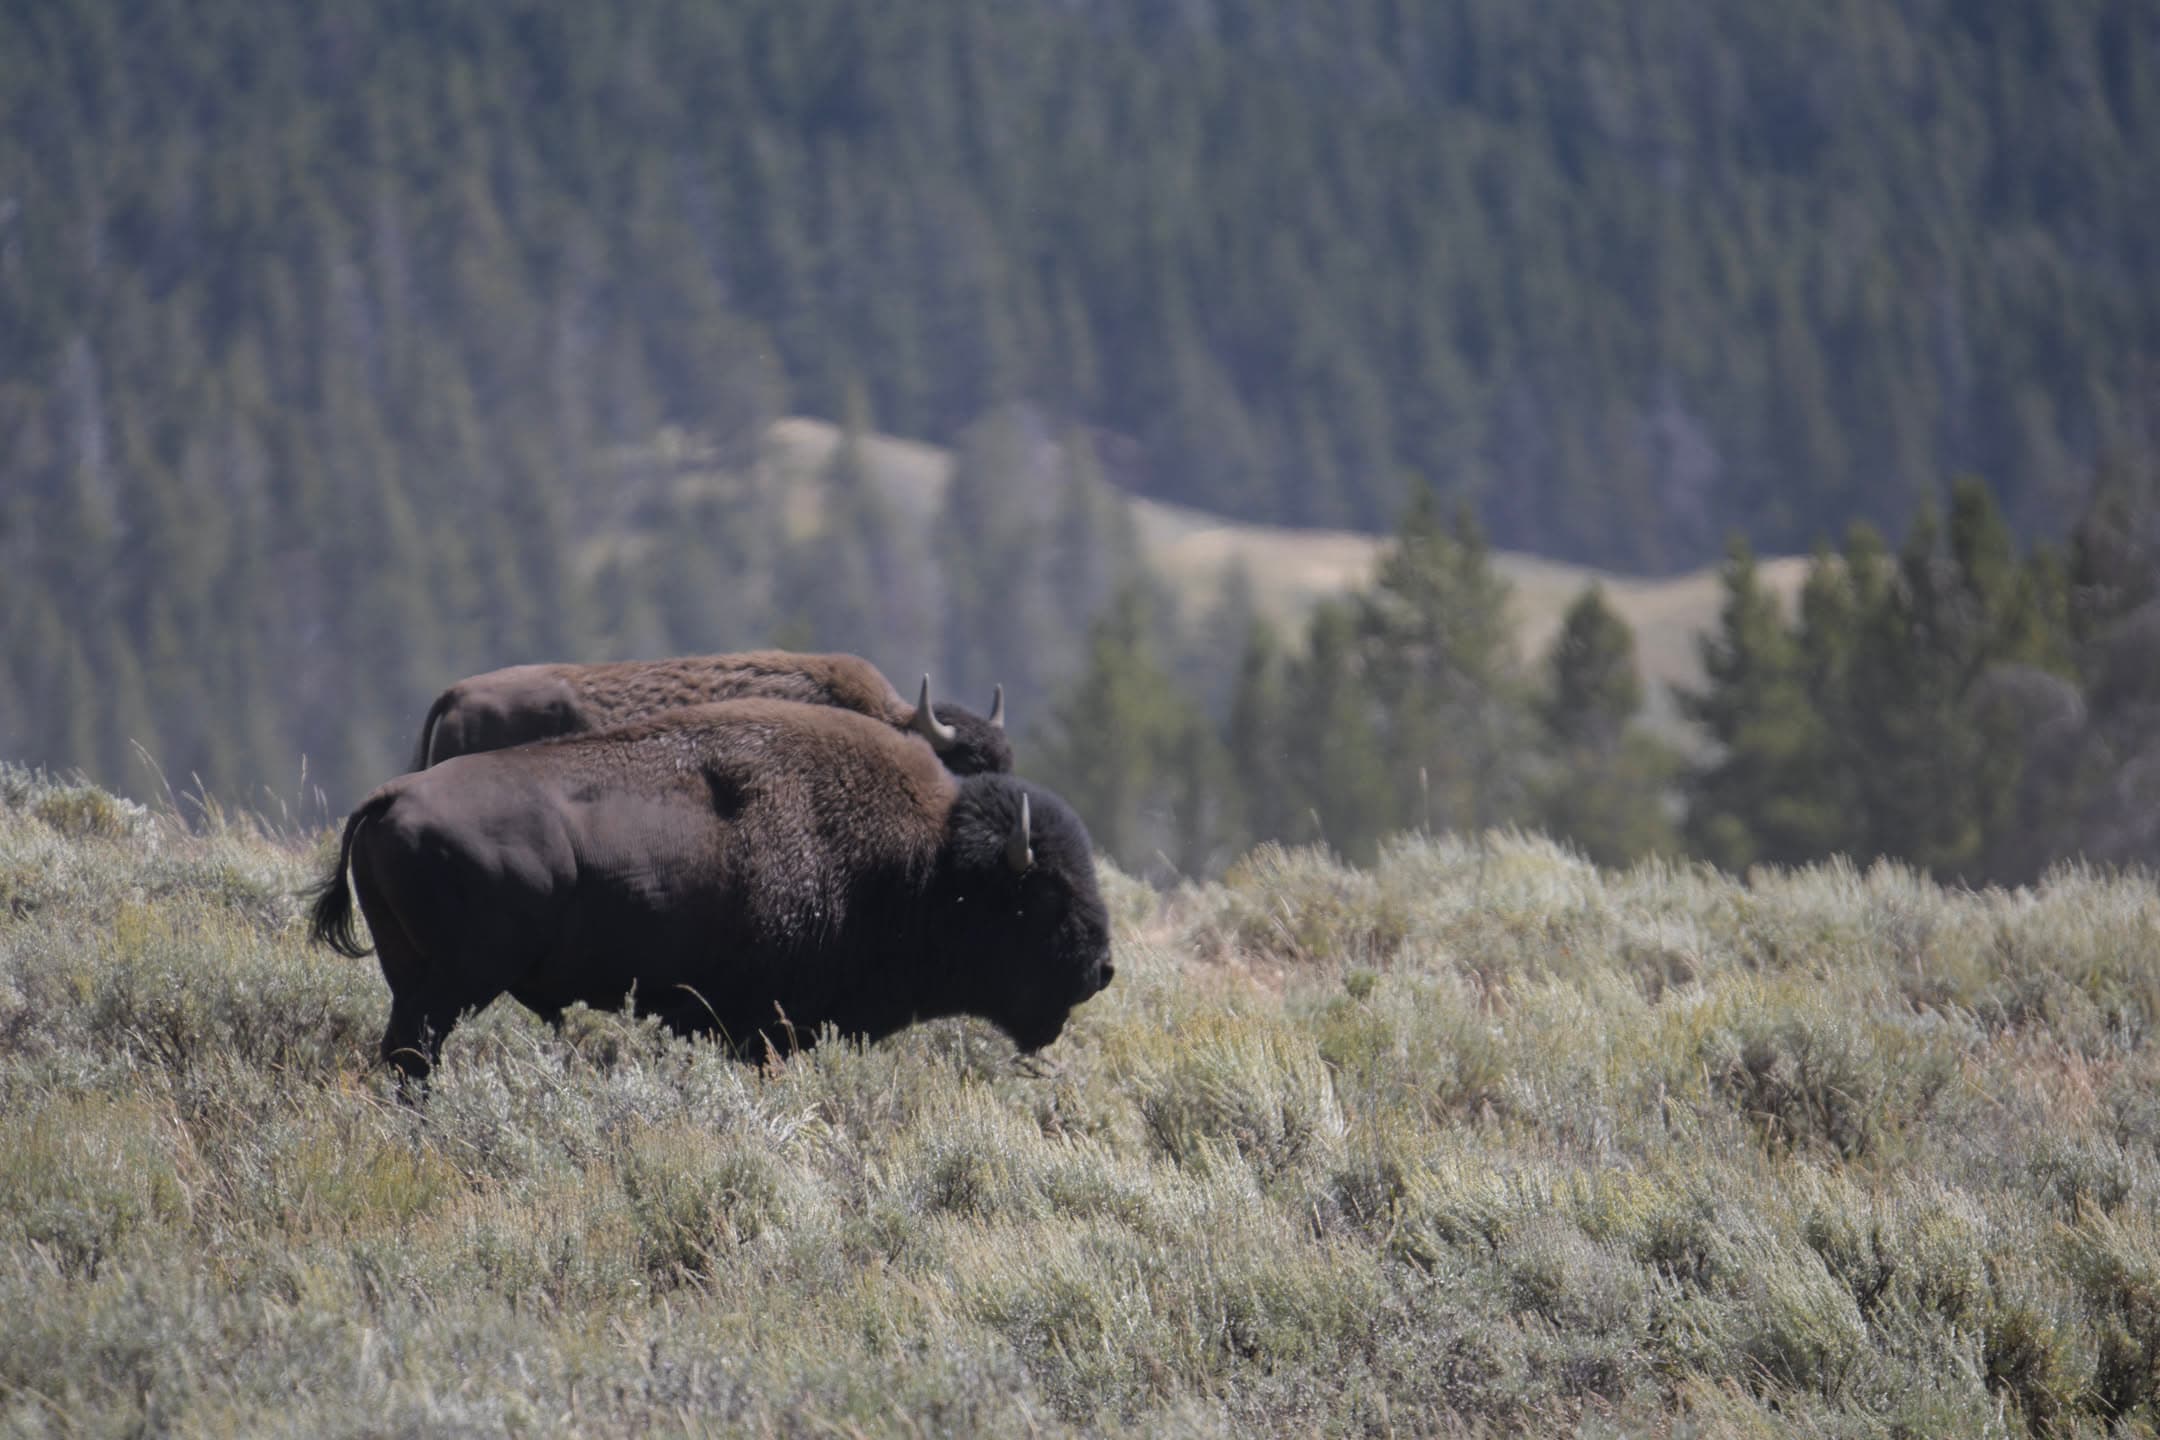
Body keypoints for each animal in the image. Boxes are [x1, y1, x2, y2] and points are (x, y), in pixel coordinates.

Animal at [310, 697, 1112, 1081]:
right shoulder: (757, 1028)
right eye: (1043, 896)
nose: (1101, 969)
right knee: (414, 1054)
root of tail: (388, 797)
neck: (924, 858)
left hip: (413, 980)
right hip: (450, 987)